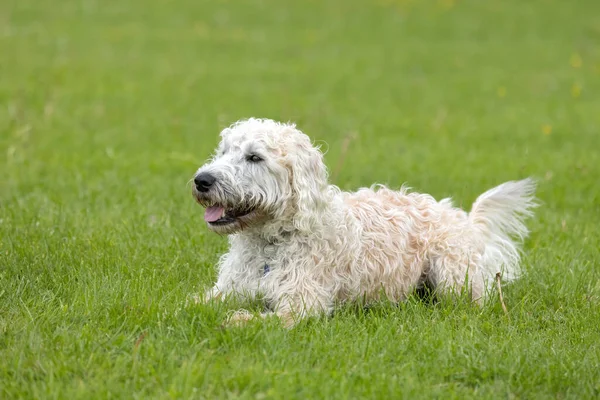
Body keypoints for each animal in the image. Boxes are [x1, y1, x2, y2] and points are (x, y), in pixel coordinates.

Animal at [191, 118, 536, 324]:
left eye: (255, 157)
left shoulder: (303, 303)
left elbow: (262, 318)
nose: (201, 180)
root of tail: (468, 222)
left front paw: (235, 321)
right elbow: (196, 303)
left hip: (453, 279)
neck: (272, 241)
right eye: (224, 151)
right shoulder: (230, 288)